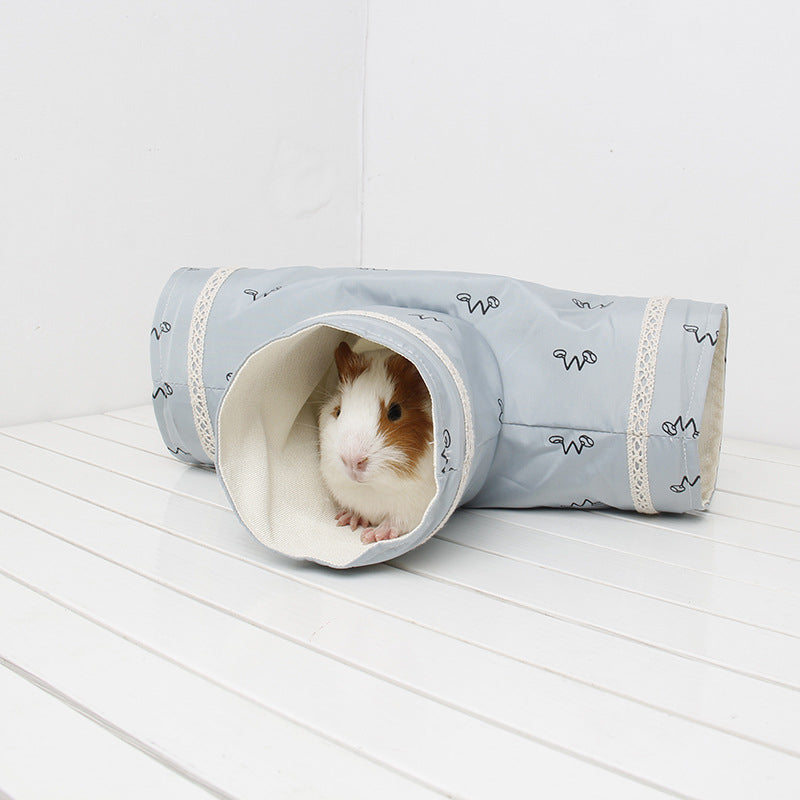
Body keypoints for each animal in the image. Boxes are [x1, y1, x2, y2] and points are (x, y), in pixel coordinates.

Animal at [318, 341, 436, 544]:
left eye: (395, 412)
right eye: (338, 411)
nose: (352, 461)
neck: (373, 488)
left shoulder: (413, 507)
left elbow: (395, 522)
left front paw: (370, 536)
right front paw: (347, 520)